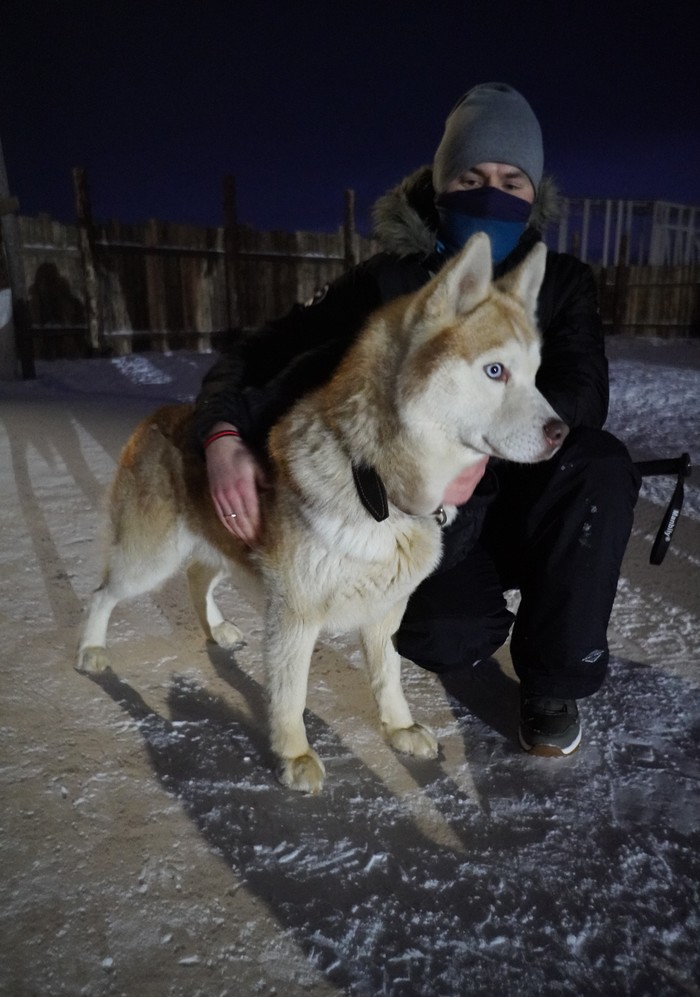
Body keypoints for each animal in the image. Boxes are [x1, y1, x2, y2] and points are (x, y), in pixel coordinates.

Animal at [76, 233, 568, 792]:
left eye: (535, 375)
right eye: (495, 370)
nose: (561, 432)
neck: (375, 486)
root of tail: (157, 416)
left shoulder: (386, 612)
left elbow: (388, 679)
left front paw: (398, 729)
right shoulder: (295, 615)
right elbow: (291, 694)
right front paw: (294, 755)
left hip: (220, 544)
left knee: (199, 576)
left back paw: (215, 629)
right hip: (148, 561)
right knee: (103, 593)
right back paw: (91, 650)